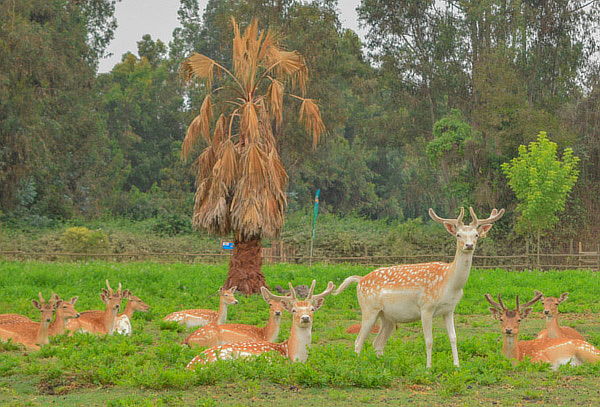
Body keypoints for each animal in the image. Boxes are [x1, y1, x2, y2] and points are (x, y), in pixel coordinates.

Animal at [336, 209, 504, 368]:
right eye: (458, 235)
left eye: (476, 234)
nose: (469, 245)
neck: (449, 284)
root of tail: (360, 280)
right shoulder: (426, 307)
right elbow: (429, 340)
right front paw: (428, 367)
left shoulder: (449, 309)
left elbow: (454, 337)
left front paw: (457, 365)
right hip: (369, 309)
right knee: (358, 341)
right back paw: (359, 366)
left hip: (387, 316)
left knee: (377, 343)